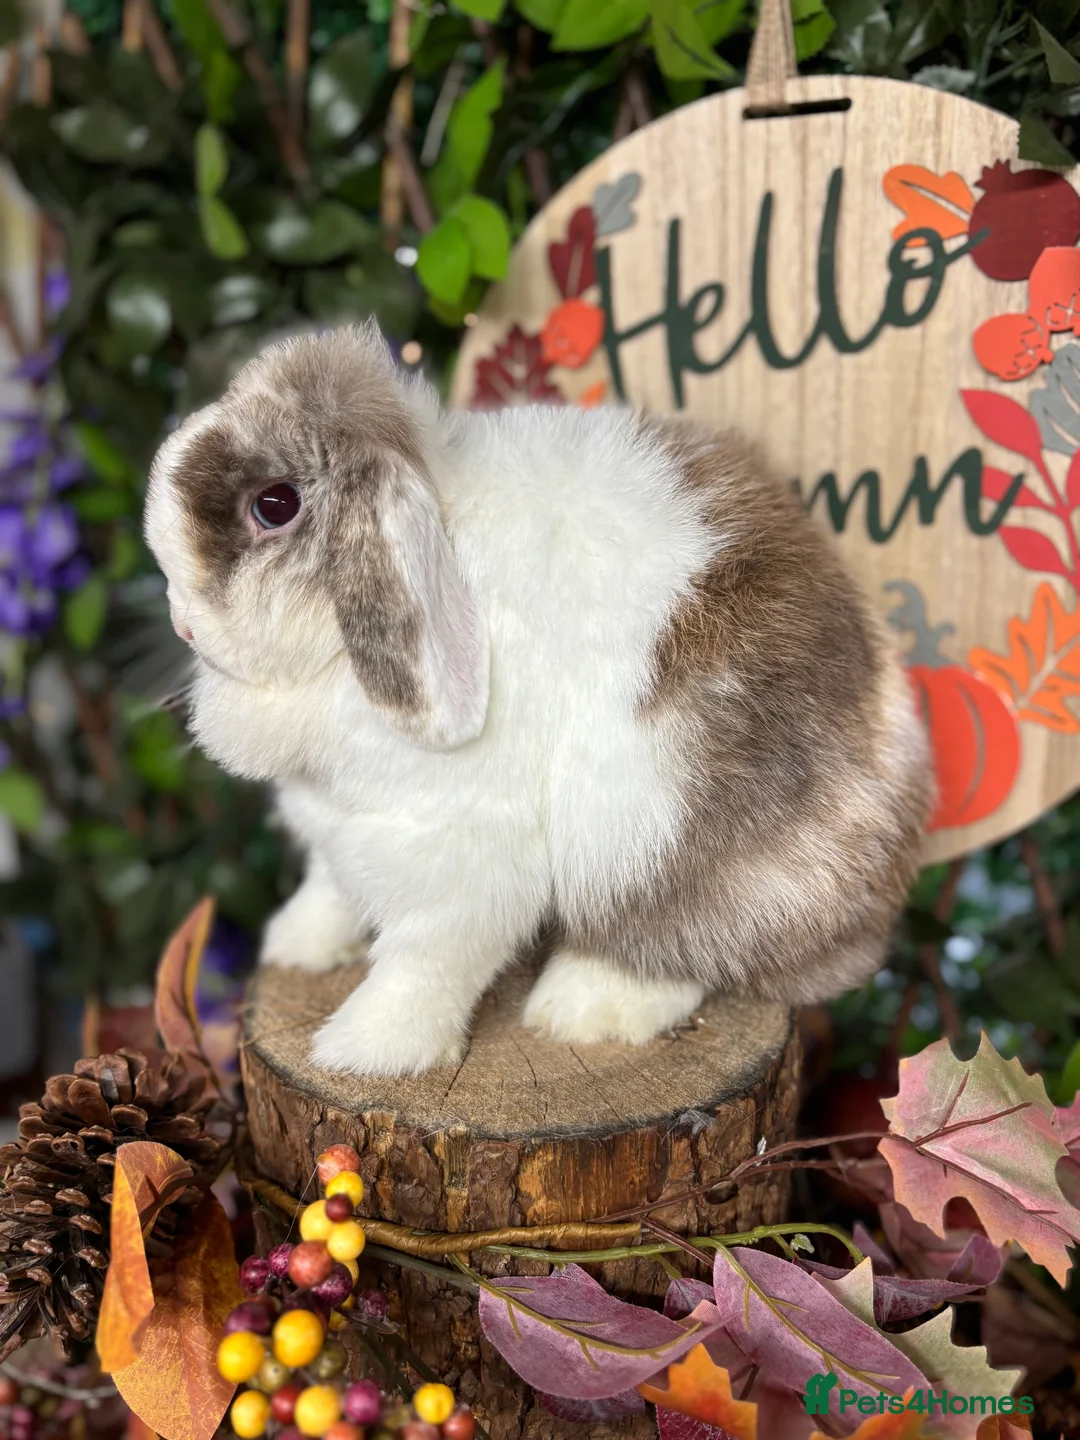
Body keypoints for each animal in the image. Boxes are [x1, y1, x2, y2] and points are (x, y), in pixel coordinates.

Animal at [144, 321, 933, 1078]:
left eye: (274, 504)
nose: (180, 623)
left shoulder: (456, 847)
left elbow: (424, 962)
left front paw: (368, 1051)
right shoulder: (340, 821)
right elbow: (331, 888)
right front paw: (294, 947)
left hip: (656, 832)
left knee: (691, 944)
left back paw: (584, 1006)